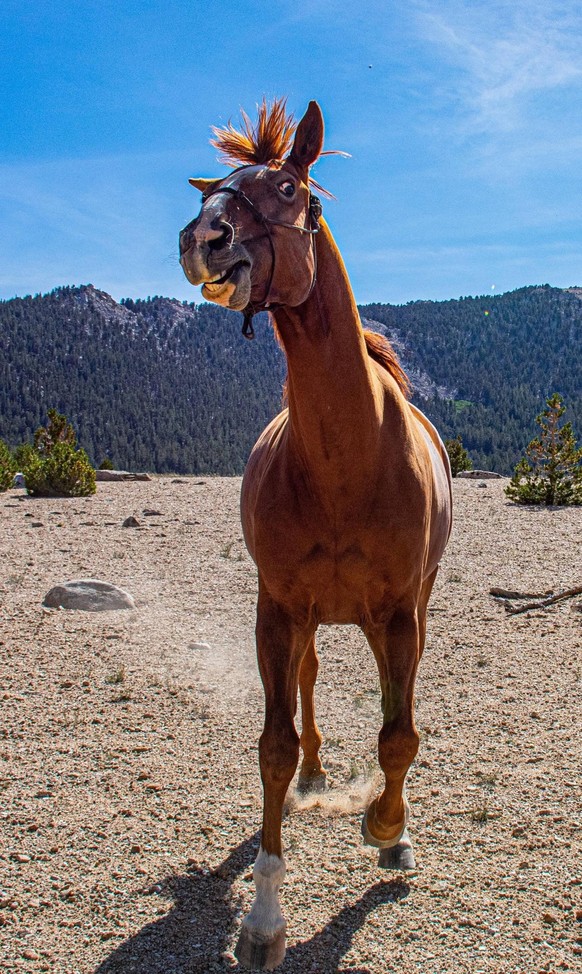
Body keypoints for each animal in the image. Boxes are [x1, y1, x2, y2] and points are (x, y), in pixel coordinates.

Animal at [180, 103, 454, 972]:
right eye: (215, 188)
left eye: (288, 188)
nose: (203, 239)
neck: (345, 458)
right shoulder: (277, 607)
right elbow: (272, 743)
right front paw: (264, 916)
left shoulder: (397, 613)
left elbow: (399, 734)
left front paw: (389, 828)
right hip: (309, 619)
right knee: (306, 681)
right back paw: (313, 770)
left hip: (405, 612)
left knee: (396, 702)